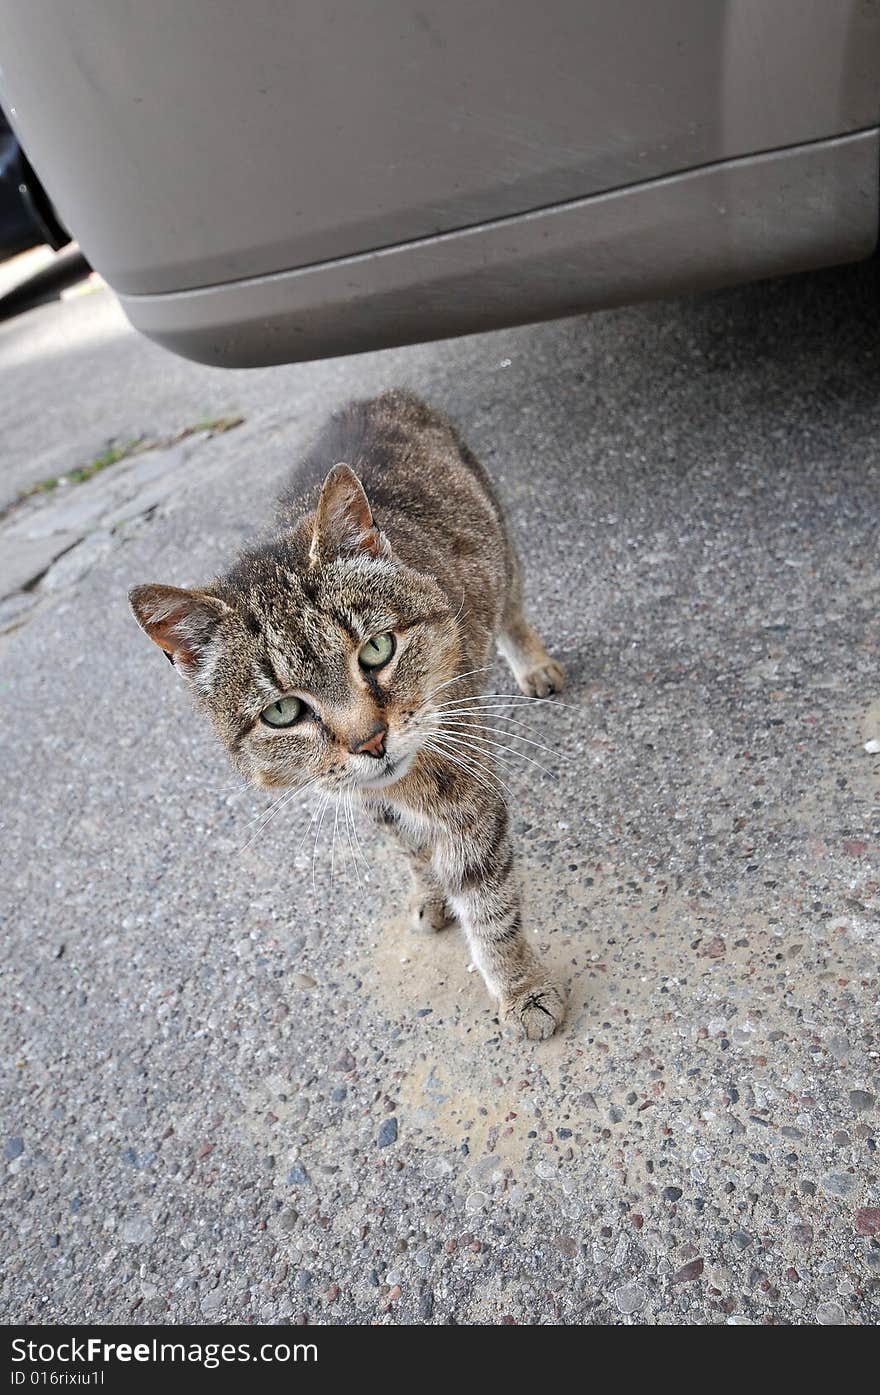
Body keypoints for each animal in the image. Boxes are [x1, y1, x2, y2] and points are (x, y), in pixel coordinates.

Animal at [134, 390, 569, 1037]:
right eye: (284, 711)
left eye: (377, 650)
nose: (371, 742)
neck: (405, 785)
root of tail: (375, 397)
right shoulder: (370, 801)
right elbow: (412, 850)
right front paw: (430, 893)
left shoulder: (466, 791)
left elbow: (488, 904)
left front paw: (522, 991)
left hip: (502, 549)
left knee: (514, 609)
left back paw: (533, 665)